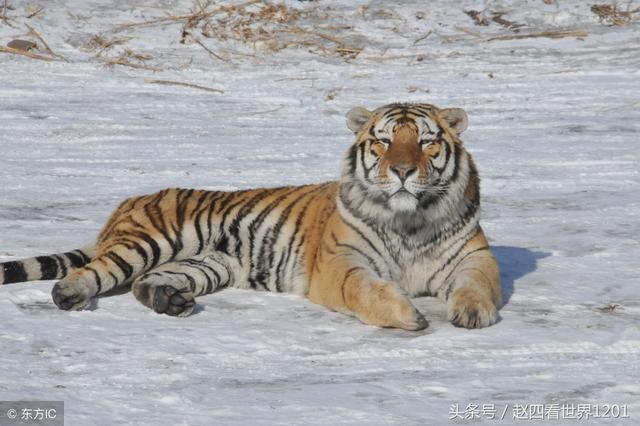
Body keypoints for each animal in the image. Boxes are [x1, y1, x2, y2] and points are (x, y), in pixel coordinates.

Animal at [0, 102, 500, 330]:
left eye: (426, 143)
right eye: (383, 141)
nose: (401, 170)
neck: (408, 221)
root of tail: (125, 205)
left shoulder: (473, 258)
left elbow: (477, 284)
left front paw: (473, 312)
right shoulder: (340, 263)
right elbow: (365, 290)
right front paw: (407, 314)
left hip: (204, 263)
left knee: (146, 282)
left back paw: (171, 302)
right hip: (149, 241)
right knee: (93, 271)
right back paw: (70, 295)